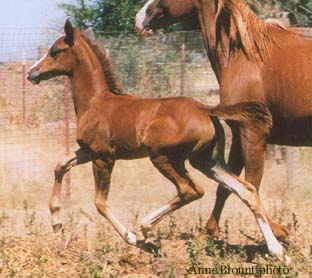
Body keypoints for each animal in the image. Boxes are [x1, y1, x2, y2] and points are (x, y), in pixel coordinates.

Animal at [26, 19, 290, 262]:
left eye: (55, 51)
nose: (32, 73)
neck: (96, 102)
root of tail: (207, 109)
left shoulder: (103, 156)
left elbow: (100, 202)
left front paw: (131, 237)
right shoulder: (87, 152)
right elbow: (60, 165)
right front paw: (56, 223)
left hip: (163, 157)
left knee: (190, 190)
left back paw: (144, 228)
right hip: (206, 161)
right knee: (245, 189)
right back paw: (278, 252)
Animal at [138, 0, 312, 242]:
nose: (140, 20)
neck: (246, 56)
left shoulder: (253, 133)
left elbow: (251, 184)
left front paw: (279, 233)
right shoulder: (239, 134)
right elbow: (230, 187)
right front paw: (210, 231)